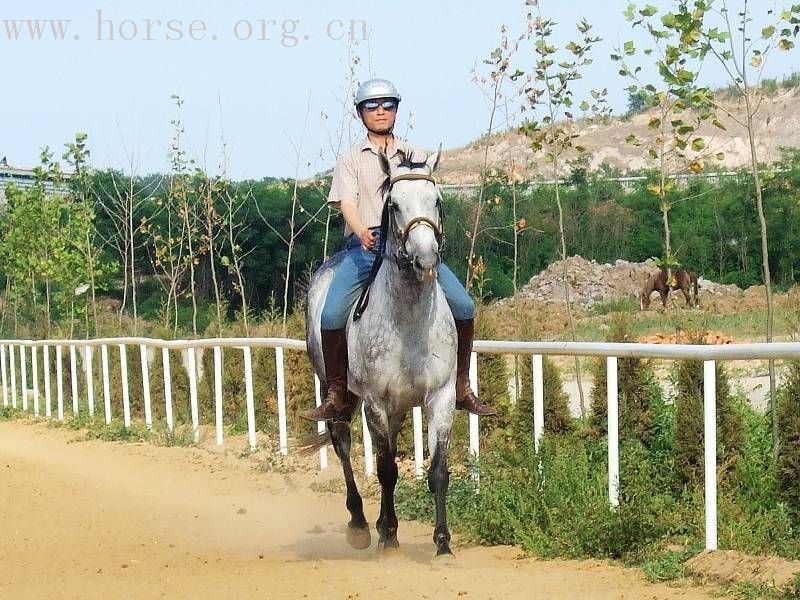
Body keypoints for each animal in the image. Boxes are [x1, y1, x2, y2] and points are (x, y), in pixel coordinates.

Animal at [304, 148, 456, 556]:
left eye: (437, 201)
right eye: (394, 204)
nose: (425, 259)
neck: (409, 322)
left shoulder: (442, 396)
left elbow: (438, 471)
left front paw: (442, 543)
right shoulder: (374, 400)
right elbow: (386, 468)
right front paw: (387, 535)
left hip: (400, 407)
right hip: (337, 391)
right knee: (342, 440)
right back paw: (360, 524)